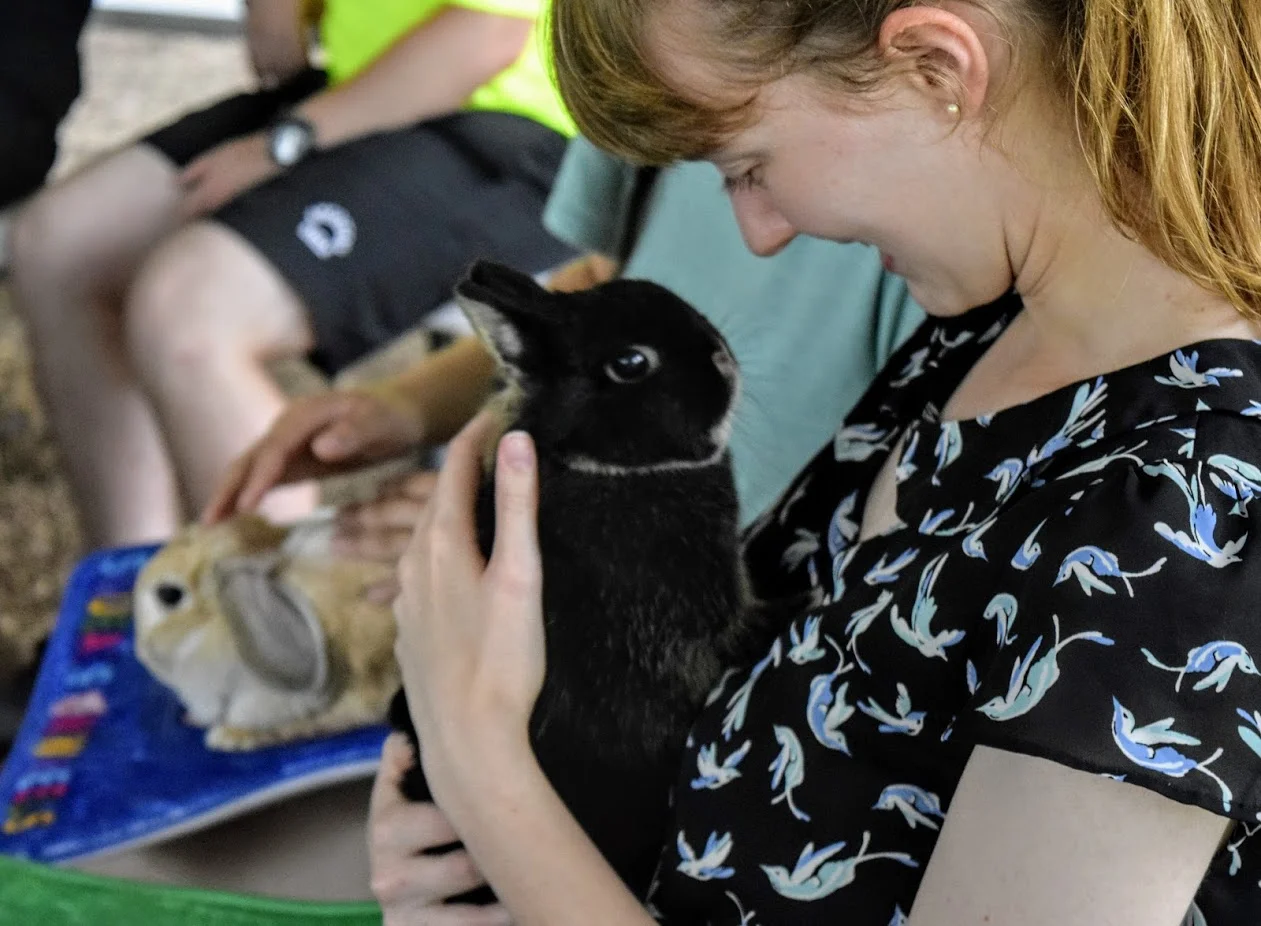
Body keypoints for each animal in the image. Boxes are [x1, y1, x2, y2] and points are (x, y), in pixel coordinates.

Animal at [390, 260, 783, 903]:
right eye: (630, 362)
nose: (724, 360)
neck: (608, 468)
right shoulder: (704, 608)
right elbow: (743, 625)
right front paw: (803, 599)